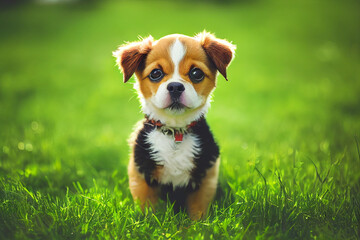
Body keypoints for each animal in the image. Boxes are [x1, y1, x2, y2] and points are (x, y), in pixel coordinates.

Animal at [114, 32, 235, 221]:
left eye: (196, 73)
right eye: (156, 73)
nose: (175, 86)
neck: (175, 131)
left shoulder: (205, 176)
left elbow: (198, 211)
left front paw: (196, 225)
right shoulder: (141, 174)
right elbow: (147, 208)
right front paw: (148, 223)